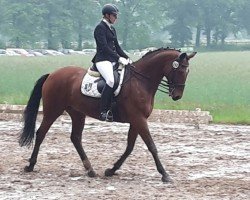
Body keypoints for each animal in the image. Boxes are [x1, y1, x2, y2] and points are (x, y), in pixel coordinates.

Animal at [18, 47, 196, 182]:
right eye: (180, 69)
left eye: (188, 71)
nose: (177, 96)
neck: (141, 82)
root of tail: (52, 74)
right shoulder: (139, 119)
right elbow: (151, 146)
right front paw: (165, 174)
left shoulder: (136, 120)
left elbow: (130, 147)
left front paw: (111, 170)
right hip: (53, 110)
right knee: (41, 133)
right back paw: (30, 165)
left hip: (77, 113)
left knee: (75, 138)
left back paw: (90, 170)